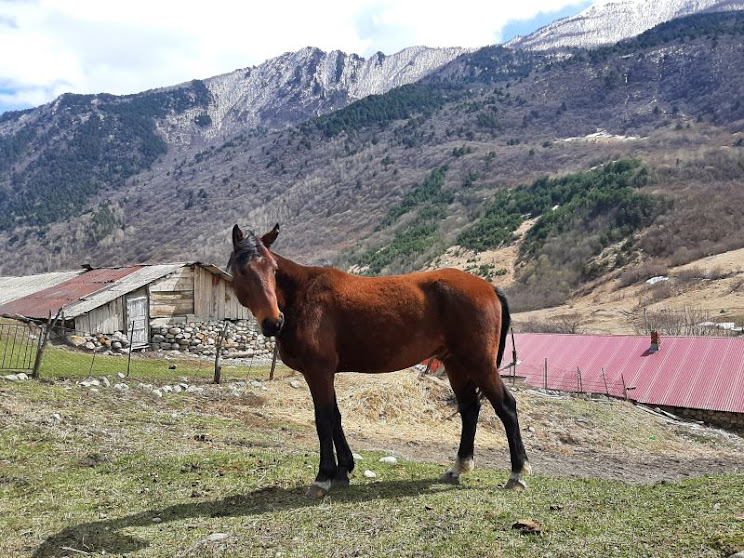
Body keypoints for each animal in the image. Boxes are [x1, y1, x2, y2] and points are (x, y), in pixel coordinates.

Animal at [230, 223, 532, 498]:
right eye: (242, 271)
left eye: (273, 269)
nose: (273, 322)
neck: (303, 296)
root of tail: (489, 287)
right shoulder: (326, 373)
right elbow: (336, 417)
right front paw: (343, 470)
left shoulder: (318, 372)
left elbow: (323, 420)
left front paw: (324, 477)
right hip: (456, 364)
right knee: (469, 409)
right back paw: (458, 468)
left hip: (479, 363)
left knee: (506, 407)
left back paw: (517, 473)